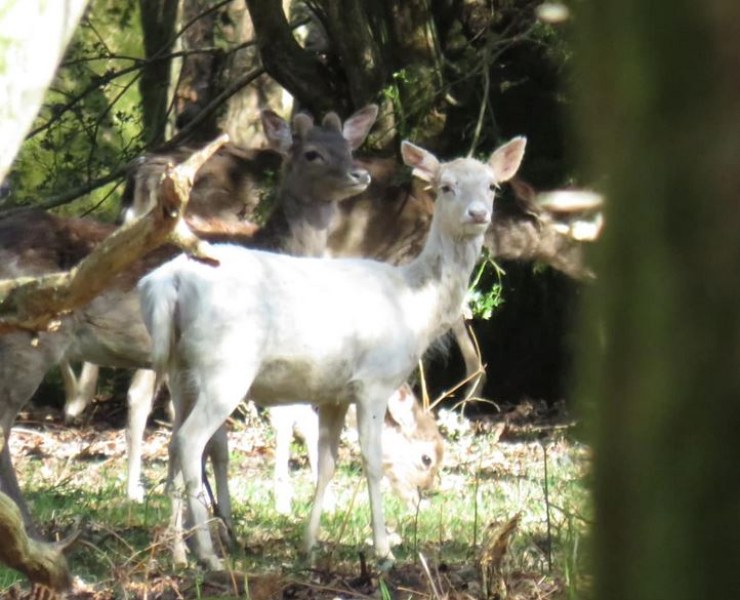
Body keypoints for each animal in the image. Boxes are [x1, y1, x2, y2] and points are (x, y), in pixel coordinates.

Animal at [139, 135, 528, 568]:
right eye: (446, 186)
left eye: (492, 186)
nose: (478, 214)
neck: (415, 305)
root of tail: (168, 281)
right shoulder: (374, 381)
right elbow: (371, 461)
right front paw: (383, 550)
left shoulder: (333, 394)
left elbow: (328, 465)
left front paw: (309, 544)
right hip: (224, 367)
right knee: (191, 441)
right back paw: (209, 555)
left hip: (180, 369)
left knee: (173, 444)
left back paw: (178, 552)